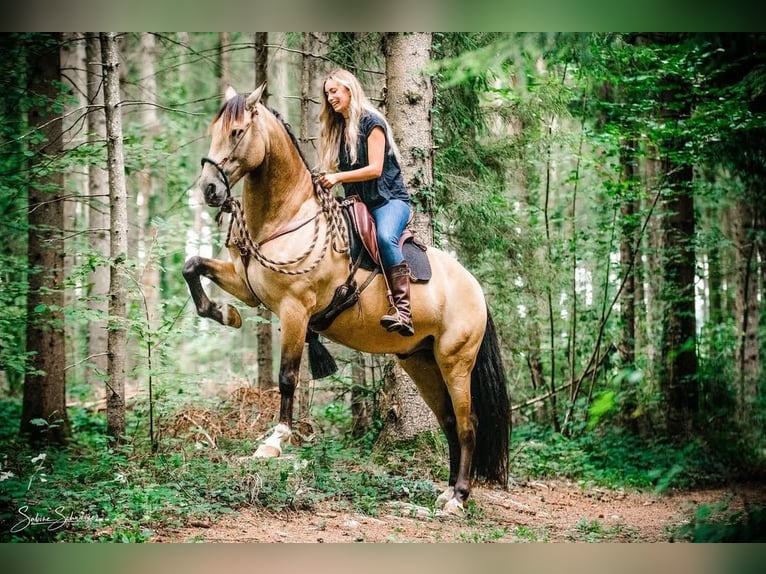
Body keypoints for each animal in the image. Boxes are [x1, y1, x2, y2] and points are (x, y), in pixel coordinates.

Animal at [183, 83, 512, 516]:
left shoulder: (294, 310)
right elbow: (192, 266)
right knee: (448, 423)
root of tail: (476, 289)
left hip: (455, 362)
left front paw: (275, 440)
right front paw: (223, 312)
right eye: (214, 129)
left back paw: (458, 498)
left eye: (237, 132)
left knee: (467, 423)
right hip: (422, 363)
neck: (286, 217)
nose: (209, 189)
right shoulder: (246, 286)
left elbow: (287, 377)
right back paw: (446, 491)